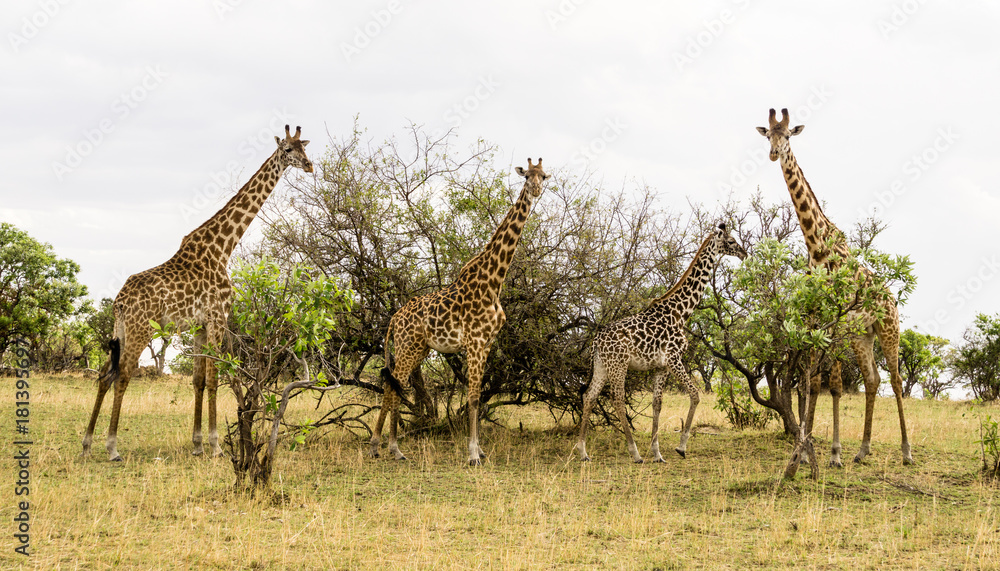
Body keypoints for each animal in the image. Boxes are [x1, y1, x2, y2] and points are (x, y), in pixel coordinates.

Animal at [82, 125, 313, 461]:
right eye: (287, 150)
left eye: (304, 147)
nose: (309, 166)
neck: (222, 248)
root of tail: (119, 302)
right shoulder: (218, 318)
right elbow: (216, 378)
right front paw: (216, 446)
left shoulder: (200, 326)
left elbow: (199, 381)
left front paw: (197, 444)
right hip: (140, 330)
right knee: (122, 374)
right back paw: (111, 447)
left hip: (120, 329)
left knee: (103, 374)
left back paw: (86, 443)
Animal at [370, 158, 550, 466]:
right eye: (526, 176)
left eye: (544, 176)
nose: (536, 190)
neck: (494, 281)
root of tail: (394, 318)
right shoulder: (475, 342)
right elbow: (475, 397)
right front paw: (473, 454)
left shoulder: (487, 343)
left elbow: (476, 396)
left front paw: (480, 450)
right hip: (407, 346)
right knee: (393, 384)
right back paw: (380, 445)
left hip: (417, 348)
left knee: (395, 383)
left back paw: (392, 447)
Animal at [576, 224, 747, 463]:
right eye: (731, 241)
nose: (744, 253)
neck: (681, 312)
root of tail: (597, 341)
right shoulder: (674, 359)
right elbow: (695, 395)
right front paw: (681, 447)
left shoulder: (661, 366)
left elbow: (657, 404)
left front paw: (657, 453)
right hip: (619, 364)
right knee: (617, 399)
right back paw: (635, 453)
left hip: (602, 365)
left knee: (589, 396)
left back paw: (583, 452)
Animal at [757, 108, 913, 466]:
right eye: (767, 134)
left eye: (788, 135)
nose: (773, 153)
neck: (817, 246)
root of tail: (892, 299)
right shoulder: (817, 320)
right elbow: (814, 383)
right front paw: (805, 453)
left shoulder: (834, 321)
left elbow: (833, 384)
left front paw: (831, 453)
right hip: (862, 334)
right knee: (872, 379)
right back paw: (863, 449)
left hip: (888, 329)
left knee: (896, 380)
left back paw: (906, 451)